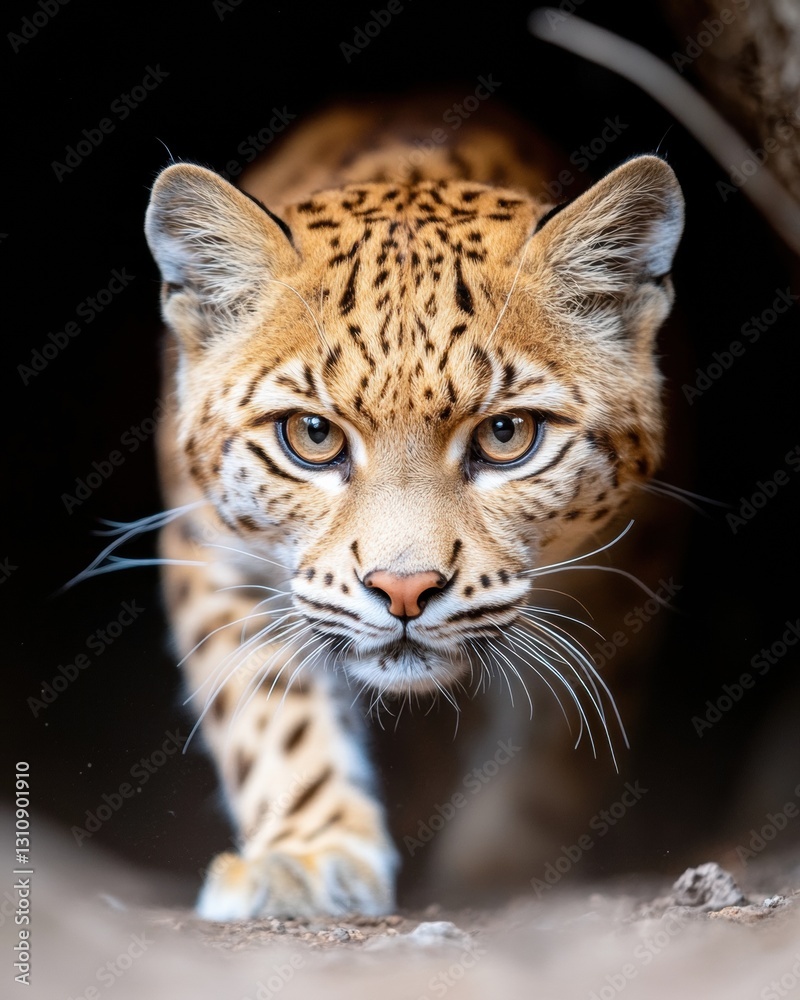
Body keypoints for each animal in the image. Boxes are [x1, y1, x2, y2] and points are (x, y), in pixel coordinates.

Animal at [142, 96, 684, 920]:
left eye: (505, 435)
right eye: (312, 436)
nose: (404, 590)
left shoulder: (621, 565)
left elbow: (555, 748)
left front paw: (498, 871)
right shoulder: (208, 543)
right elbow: (268, 705)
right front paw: (308, 855)